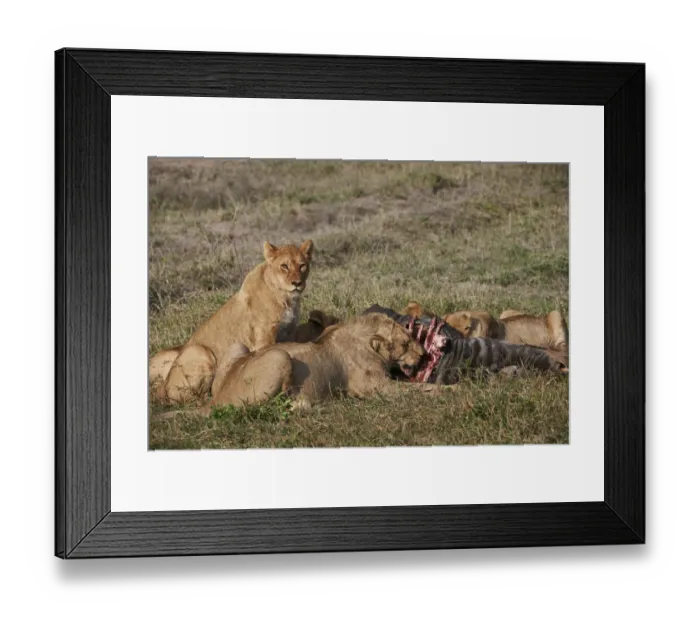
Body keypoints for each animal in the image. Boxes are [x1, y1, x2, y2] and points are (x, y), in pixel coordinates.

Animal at [151, 239, 314, 404]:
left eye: (302, 265)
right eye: (284, 266)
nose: (297, 283)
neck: (286, 298)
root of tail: (163, 386)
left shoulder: (290, 332)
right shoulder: (264, 338)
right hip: (200, 351)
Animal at [210, 313, 441, 412]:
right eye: (405, 343)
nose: (424, 355)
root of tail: (217, 400)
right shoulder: (378, 388)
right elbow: (420, 390)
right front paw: (448, 392)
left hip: (238, 346)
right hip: (279, 355)